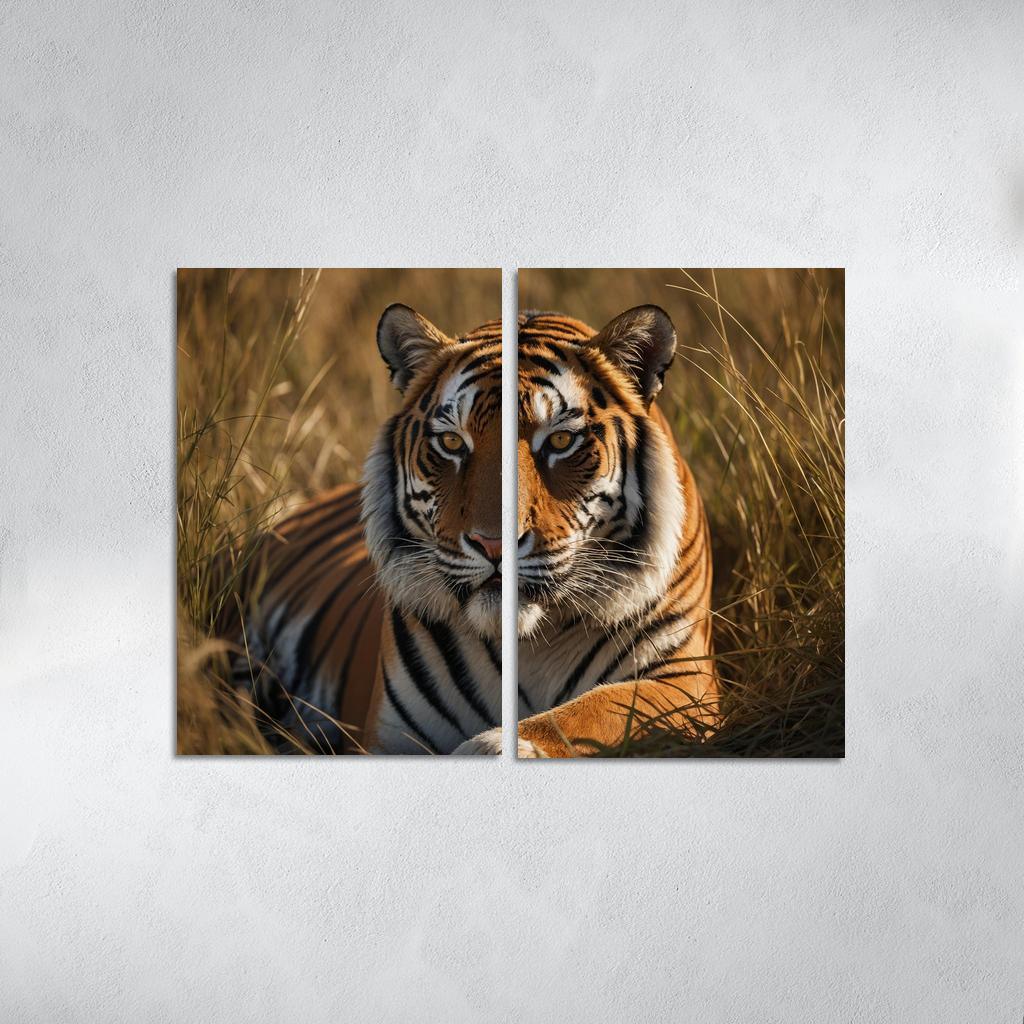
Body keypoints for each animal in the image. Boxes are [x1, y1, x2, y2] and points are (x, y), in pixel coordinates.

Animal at [457, 306, 719, 758]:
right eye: (454, 444)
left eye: (562, 440)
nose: (493, 544)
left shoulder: (686, 678)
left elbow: (596, 709)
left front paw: (495, 746)